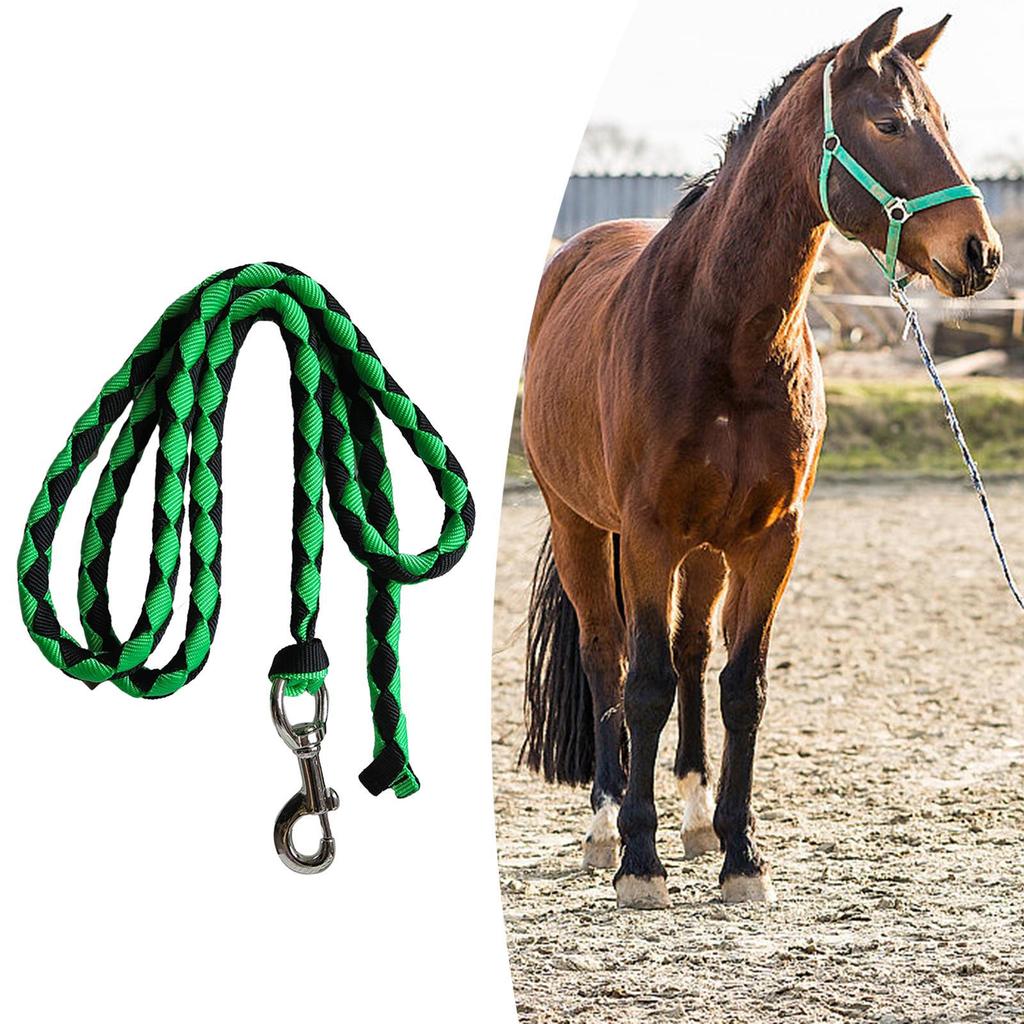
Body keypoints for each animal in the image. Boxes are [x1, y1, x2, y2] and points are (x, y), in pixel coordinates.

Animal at [520, 8, 1002, 910]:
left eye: (946, 124)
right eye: (889, 124)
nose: (981, 252)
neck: (725, 337)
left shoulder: (772, 539)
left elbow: (742, 687)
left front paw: (741, 854)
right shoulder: (647, 537)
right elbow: (642, 686)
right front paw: (641, 863)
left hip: (708, 552)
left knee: (690, 654)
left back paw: (697, 818)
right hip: (581, 528)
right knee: (607, 657)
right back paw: (605, 825)